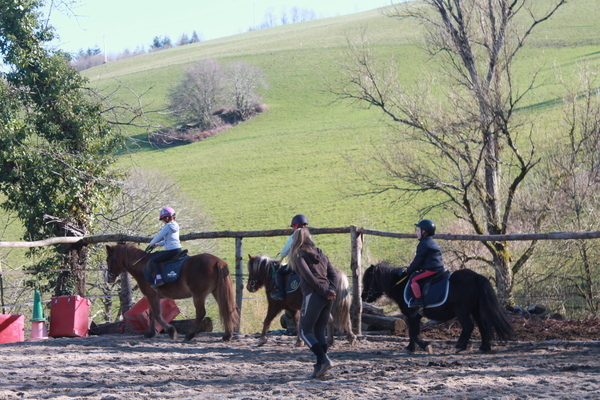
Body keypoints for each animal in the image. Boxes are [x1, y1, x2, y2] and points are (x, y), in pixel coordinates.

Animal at [105, 244, 239, 340]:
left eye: (108, 259)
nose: (108, 278)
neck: (142, 266)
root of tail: (217, 261)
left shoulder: (151, 296)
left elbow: (157, 315)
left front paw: (171, 332)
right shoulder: (152, 297)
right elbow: (152, 315)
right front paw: (150, 333)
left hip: (199, 295)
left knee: (201, 312)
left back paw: (190, 335)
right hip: (216, 291)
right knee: (226, 309)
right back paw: (227, 335)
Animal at [364, 262, 512, 354]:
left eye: (367, 279)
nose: (363, 296)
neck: (401, 284)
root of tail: (476, 276)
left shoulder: (411, 315)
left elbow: (414, 333)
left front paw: (425, 346)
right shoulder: (414, 316)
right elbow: (412, 332)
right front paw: (410, 348)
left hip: (462, 311)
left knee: (468, 326)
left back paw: (459, 346)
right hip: (475, 310)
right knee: (483, 326)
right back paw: (484, 347)